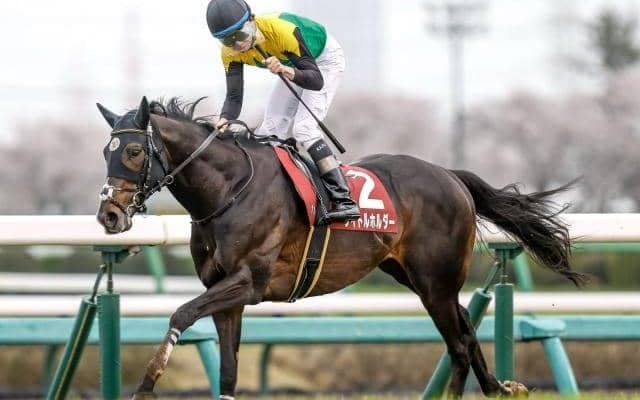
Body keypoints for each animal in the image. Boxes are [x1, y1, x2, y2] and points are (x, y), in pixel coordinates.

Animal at [95, 96, 587, 399]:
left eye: (135, 152)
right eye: (106, 151)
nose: (110, 216)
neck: (229, 191)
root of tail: (451, 175)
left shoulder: (248, 282)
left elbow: (180, 314)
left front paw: (147, 384)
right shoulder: (227, 294)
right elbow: (229, 366)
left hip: (435, 282)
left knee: (459, 344)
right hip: (417, 277)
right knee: (465, 328)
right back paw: (498, 387)